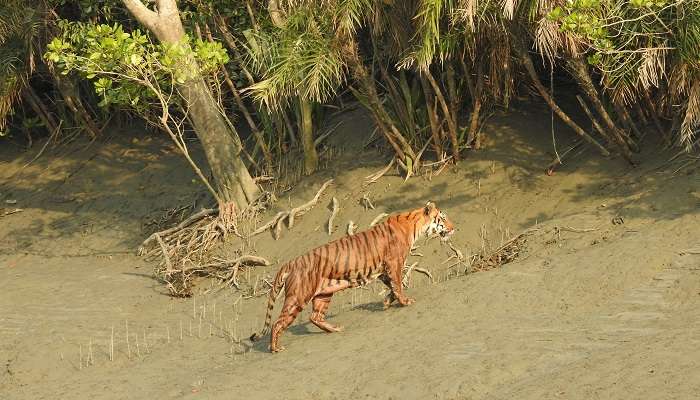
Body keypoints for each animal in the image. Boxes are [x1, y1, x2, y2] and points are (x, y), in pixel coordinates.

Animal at [250, 202, 454, 352]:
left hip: (324, 294)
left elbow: (392, 287)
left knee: (315, 317)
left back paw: (335, 329)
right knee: (278, 323)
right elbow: (398, 285)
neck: (414, 225)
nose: (453, 228)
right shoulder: (394, 264)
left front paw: (387, 302)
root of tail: (291, 262)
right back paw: (275, 348)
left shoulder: (383, 271)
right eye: (443, 218)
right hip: (298, 297)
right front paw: (405, 302)